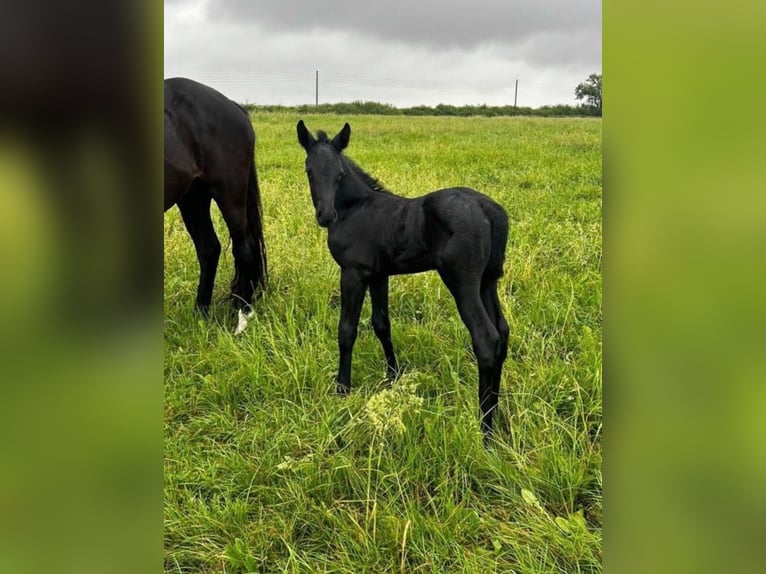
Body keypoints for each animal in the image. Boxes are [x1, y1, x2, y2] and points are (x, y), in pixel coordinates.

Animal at [164, 77, 268, 328]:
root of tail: (234, 106)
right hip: (193, 197)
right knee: (209, 249)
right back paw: (200, 314)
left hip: (229, 193)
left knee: (244, 249)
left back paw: (242, 317)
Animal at [298, 119, 510, 438]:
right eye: (309, 170)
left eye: (339, 173)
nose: (325, 215)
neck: (354, 208)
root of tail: (487, 209)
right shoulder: (378, 275)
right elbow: (381, 324)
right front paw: (393, 375)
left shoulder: (353, 273)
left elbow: (347, 330)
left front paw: (342, 388)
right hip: (488, 281)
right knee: (503, 332)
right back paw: (495, 417)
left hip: (463, 283)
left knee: (486, 338)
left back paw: (484, 430)